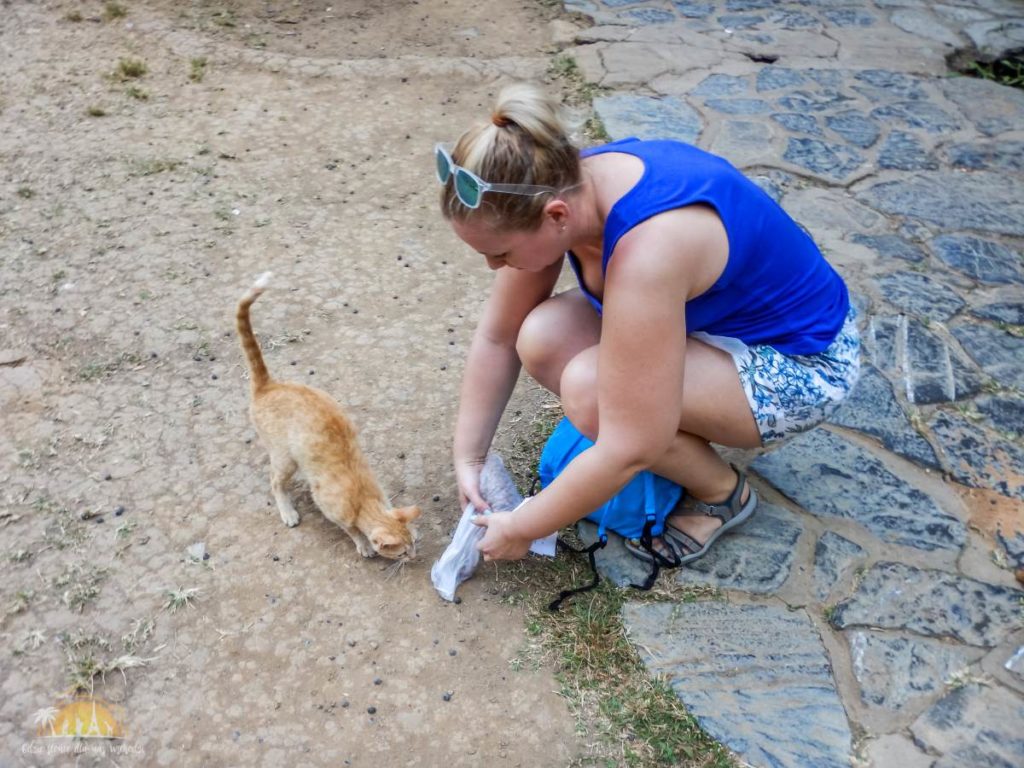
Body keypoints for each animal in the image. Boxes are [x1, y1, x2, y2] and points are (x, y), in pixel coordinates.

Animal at [236, 274, 419, 561]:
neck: (364, 499)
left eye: (414, 543)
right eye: (401, 553)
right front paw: (363, 545)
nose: (413, 557)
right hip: (285, 458)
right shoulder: (331, 508)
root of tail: (269, 385)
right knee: (275, 482)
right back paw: (287, 511)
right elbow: (352, 530)